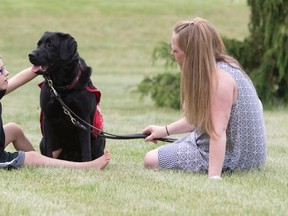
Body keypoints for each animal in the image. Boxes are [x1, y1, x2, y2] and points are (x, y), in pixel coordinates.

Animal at [28, 31, 106, 161]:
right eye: (38, 44)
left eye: (50, 44)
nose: (30, 55)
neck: (62, 87)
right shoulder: (48, 118)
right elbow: (48, 150)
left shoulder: (83, 119)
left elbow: (86, 150)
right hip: (42, 141)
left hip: (99, 139)